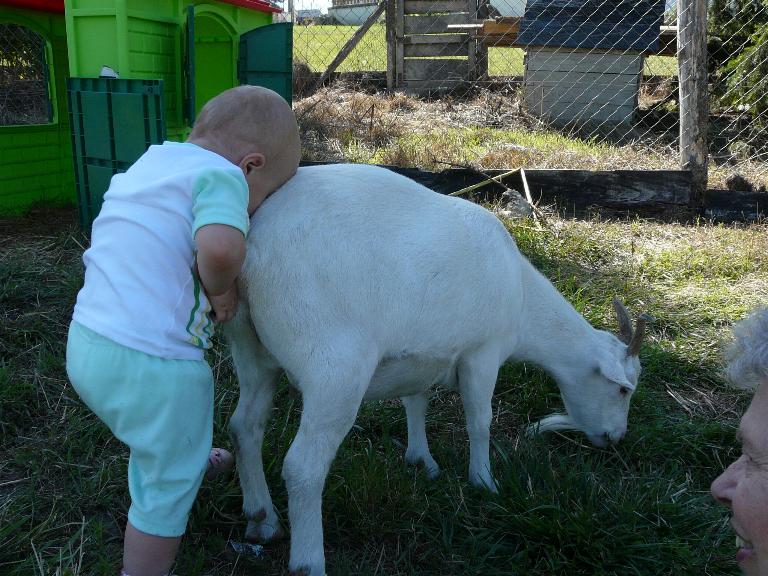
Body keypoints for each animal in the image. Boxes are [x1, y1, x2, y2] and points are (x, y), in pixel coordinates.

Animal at [225, 162, 644, 576]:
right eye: (623, 388)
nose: (617, 438)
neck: (524, 299)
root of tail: (253, 250)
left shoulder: (424, 355)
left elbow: (417, 402)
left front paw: (421, 461)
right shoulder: (482, 353)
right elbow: (480, 421)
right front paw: (484, 482)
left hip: (251, 350)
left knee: (245, 426)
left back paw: (262, 520)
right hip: (334, 367)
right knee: (302, 467)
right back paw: (308, 560)